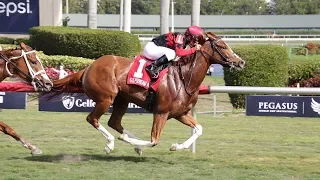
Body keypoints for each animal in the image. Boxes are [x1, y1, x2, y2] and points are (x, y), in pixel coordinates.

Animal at [53, 32, 245, 155]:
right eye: (222, 46)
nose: (241, 62)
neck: (184, 78)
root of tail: (88, 67)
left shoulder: (180, 113)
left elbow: (198, 129)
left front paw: (176, 146)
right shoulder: (161, 112)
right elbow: (154, 140)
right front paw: (132, 142)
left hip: (121, 100)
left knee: (114, 122)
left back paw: (130, 142)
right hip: (105, 98)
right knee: (93, 119)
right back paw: (111, 143)